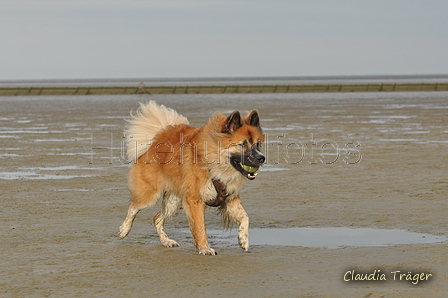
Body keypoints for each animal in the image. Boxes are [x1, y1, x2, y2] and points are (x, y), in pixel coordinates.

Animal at [119, 101, 266, 255]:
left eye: (257, 144)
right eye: (243, 144)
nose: (262, 158)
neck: (213, 161)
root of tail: (157, 138)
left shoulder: (230, 198)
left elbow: (245, 217)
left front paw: (243, 240)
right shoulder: (195, 200)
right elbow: (200, 226)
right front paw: (205, 248)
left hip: (174, 201)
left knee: (157, 218)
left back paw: (166, 241)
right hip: (150, 195)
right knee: (133, 207)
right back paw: (124, 230)